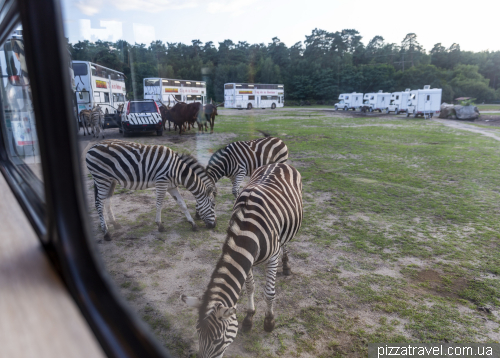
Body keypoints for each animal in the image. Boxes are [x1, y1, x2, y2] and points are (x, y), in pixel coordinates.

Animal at [84, 140, 217, 241]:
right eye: (212, 205)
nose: (214, 226)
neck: (177, 170)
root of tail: (93, 147)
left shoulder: (171, 186)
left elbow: (182, 204)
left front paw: (193, 224)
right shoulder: (162, 182)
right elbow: (159, 204)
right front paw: (160, 226)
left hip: (111, 180)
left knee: (107, 201)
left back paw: (115, 224)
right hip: (102, 178)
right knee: (99, 204)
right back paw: (106, 233)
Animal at [182, 163, 302, 358]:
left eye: (218, 341)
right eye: (197, 333)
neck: (247, 230)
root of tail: (277, 163)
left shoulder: (272, 257)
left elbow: (269, 293)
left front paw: (269, 321)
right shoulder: (248, 261)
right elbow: (250, 287)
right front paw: (249, 317)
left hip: (289, 228)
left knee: (285, 243)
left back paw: (286, 266)